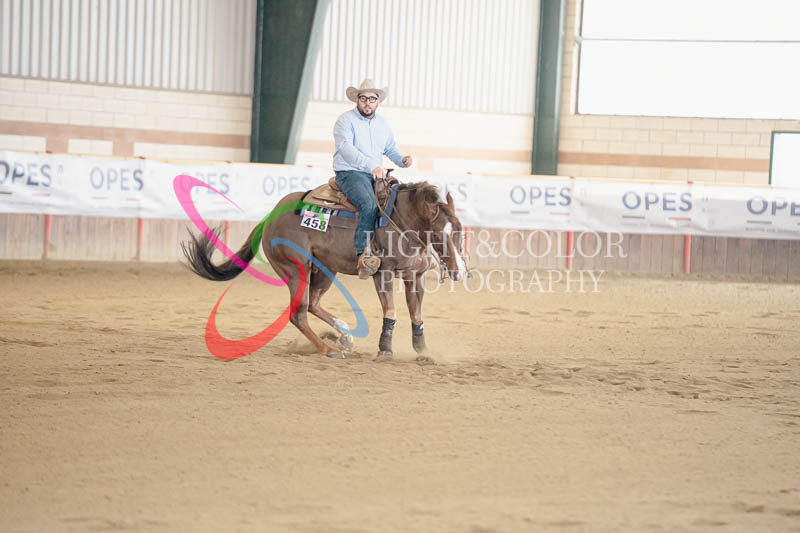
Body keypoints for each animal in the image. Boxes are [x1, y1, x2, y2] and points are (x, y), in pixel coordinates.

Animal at [182, 180, 470, 360]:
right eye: (439, 235)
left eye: (459, 231)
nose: (458, 272)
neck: (401, 222)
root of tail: (271, 216)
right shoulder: (382, 274)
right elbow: (391, 311)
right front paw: (385, 349)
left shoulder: (415, 276)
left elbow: (416, 314)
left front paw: (423, 350)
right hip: (296, 268)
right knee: (298, 313)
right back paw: (328, 349)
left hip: (325, 270)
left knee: (312, 304)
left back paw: (344, 336)